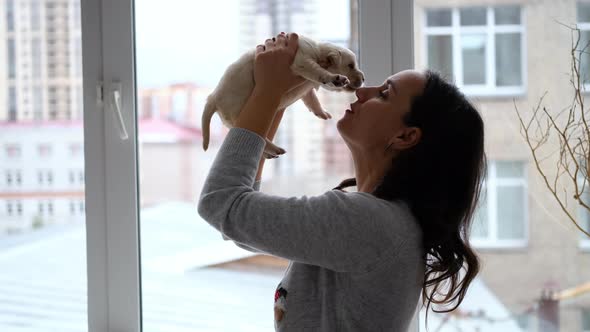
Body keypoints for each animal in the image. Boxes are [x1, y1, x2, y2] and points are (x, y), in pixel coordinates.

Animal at [201, 34, 364, 158]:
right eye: (350, 65)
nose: (363, 79)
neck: (318, 52)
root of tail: (213, 97)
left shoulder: (306, 86)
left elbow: (311, 98)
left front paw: (321, 112)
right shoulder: (302, 61)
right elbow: (319, 71)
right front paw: (336, 78)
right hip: (237, 112)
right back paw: (274, 149)